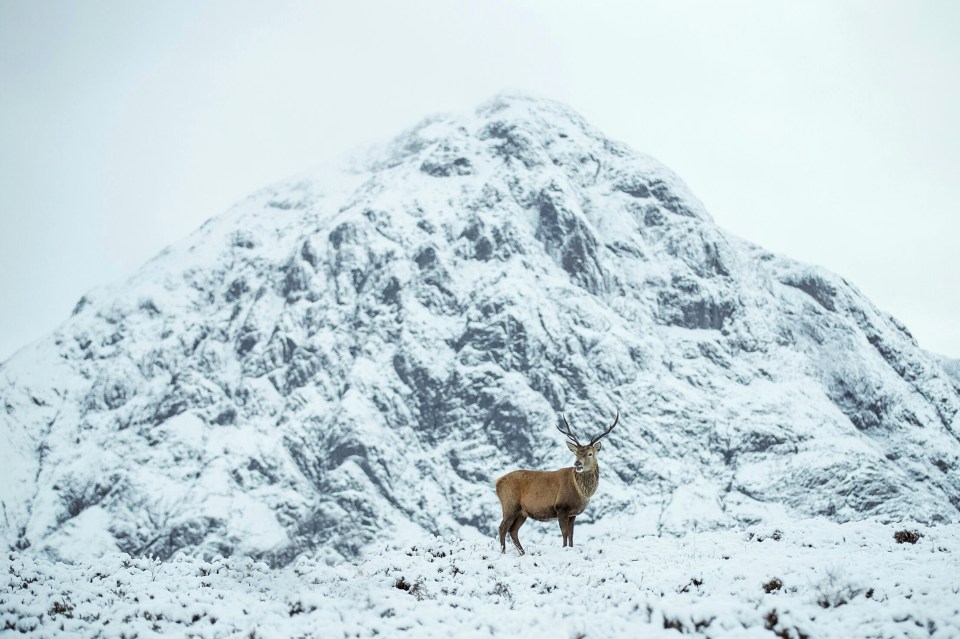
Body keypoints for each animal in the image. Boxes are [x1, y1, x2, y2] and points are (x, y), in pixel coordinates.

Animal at [492, 410, 620, 556]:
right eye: (576, 453)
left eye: (590, 453)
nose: (577, 463)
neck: (581, 493)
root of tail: (497, 482)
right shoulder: (561, 507)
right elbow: (564, 533)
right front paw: (564, 548)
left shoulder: (572, 513)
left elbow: (571, 534)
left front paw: (570, 547)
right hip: (510, 504)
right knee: (502, 527)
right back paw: (503, 552)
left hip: (522, 512)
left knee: (513, 530)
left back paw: (522, 553)